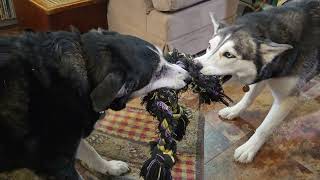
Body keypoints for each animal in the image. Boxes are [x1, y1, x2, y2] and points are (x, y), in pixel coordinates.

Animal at [0, 28, 190, 179]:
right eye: (157, 73)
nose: (188, 76)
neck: (87, 69)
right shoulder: (54, 159)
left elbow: (89, 150)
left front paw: (109, 167)